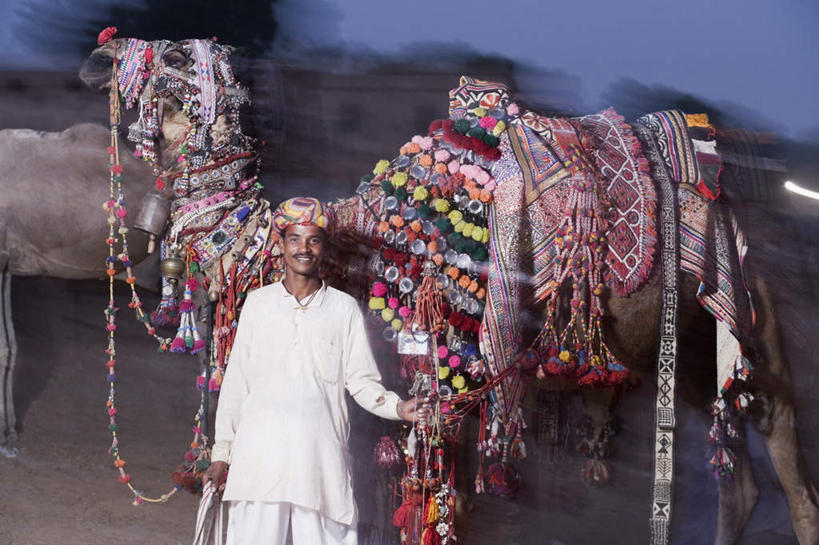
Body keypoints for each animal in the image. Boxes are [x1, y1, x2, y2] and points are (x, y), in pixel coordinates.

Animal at [70, 35, 819, 544]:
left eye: (174, 53)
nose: (96, 57)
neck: (366, 238)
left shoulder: (459, 371)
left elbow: (448, 504)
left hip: (751, 323)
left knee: (793, 470)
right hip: (691, 352)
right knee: (738, 480)